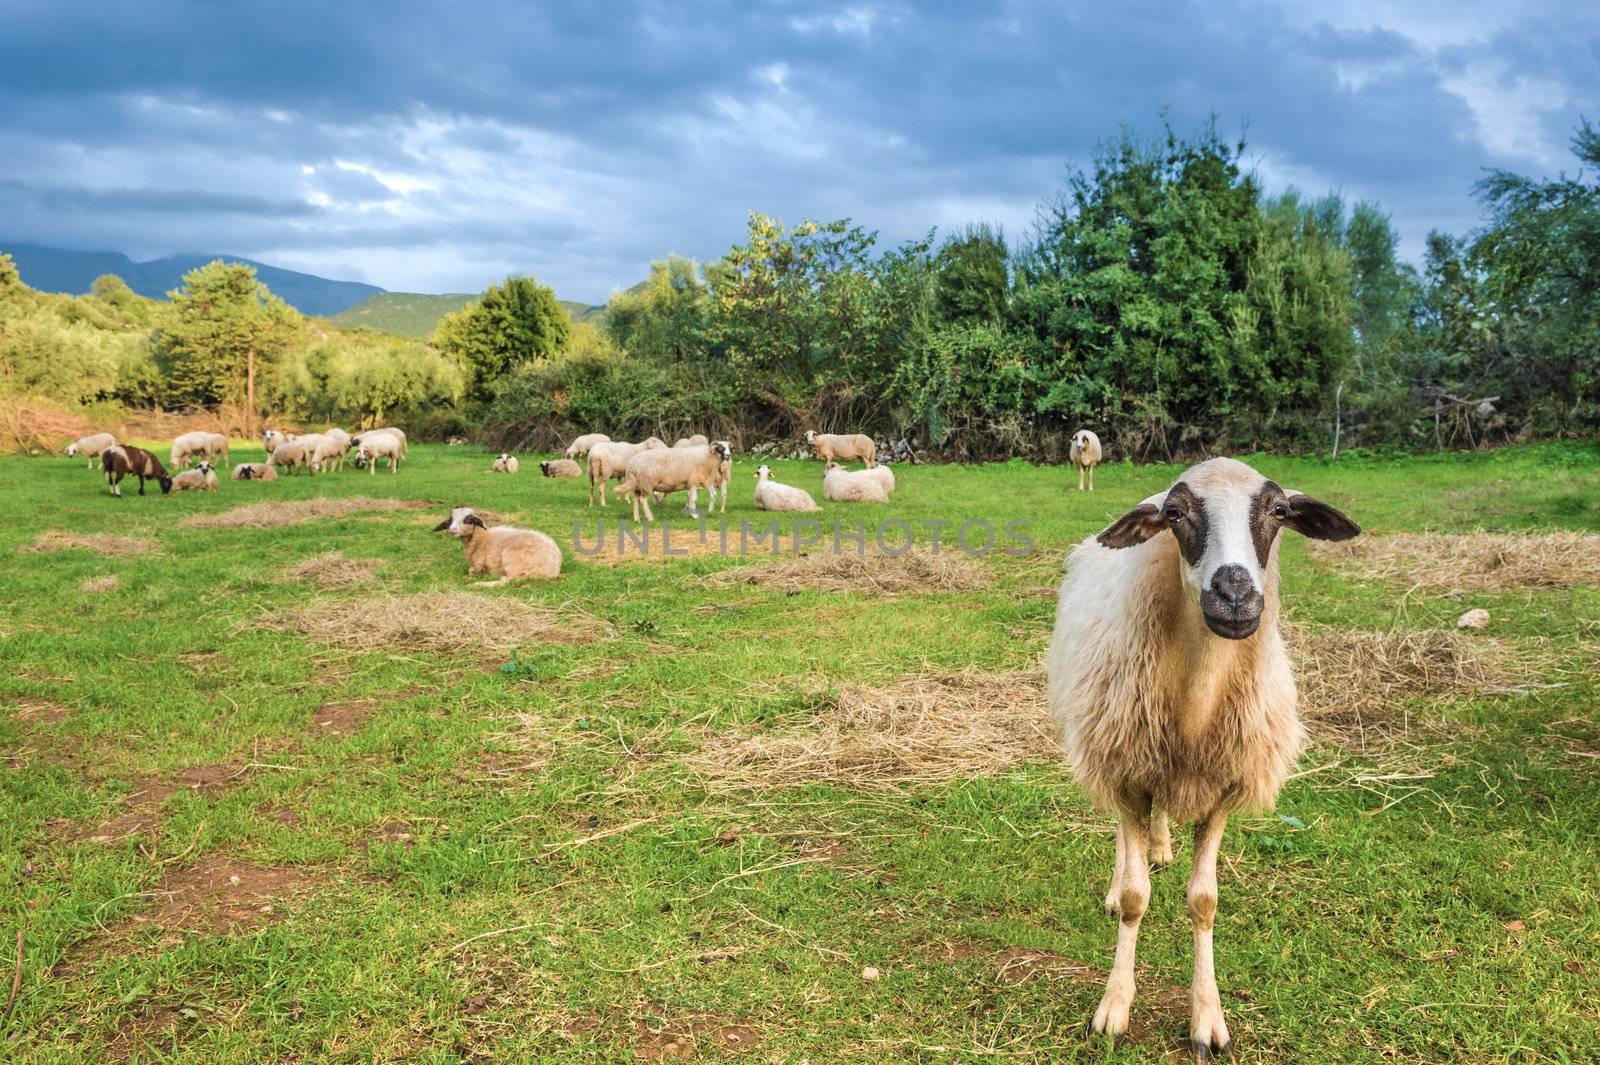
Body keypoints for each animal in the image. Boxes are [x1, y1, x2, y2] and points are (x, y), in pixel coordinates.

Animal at [432, 505, 563, 585]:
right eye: (450, 520)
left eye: (468, 519)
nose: (452, 529)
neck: (481, 539)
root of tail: (554, 568)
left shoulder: (478, 565)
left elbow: (472, 571)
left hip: (513, 561)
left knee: (509, 580)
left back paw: (478, 584)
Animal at [1049, 450, 1363, 1049]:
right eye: (1174, 514)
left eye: (1280, 511)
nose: (1235, 596)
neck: (1196, 701)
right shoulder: (1129, 773)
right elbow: (1136, 898)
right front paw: (1115, 1005)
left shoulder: (1223, 788)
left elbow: (1204, 902)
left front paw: (1208, 1015)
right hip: (1108, 743)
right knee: (1122, 837)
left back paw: (1160, 846)